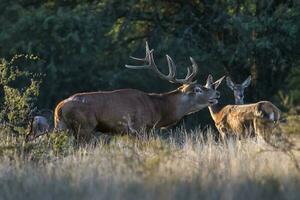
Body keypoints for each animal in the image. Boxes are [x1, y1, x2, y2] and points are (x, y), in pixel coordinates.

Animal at [53, 42, 223, 142]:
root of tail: (59, 108)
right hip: (85, 127)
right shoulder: (139, 128)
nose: (217, 94)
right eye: (197, 89)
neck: (157, 110)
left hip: (61, 127)